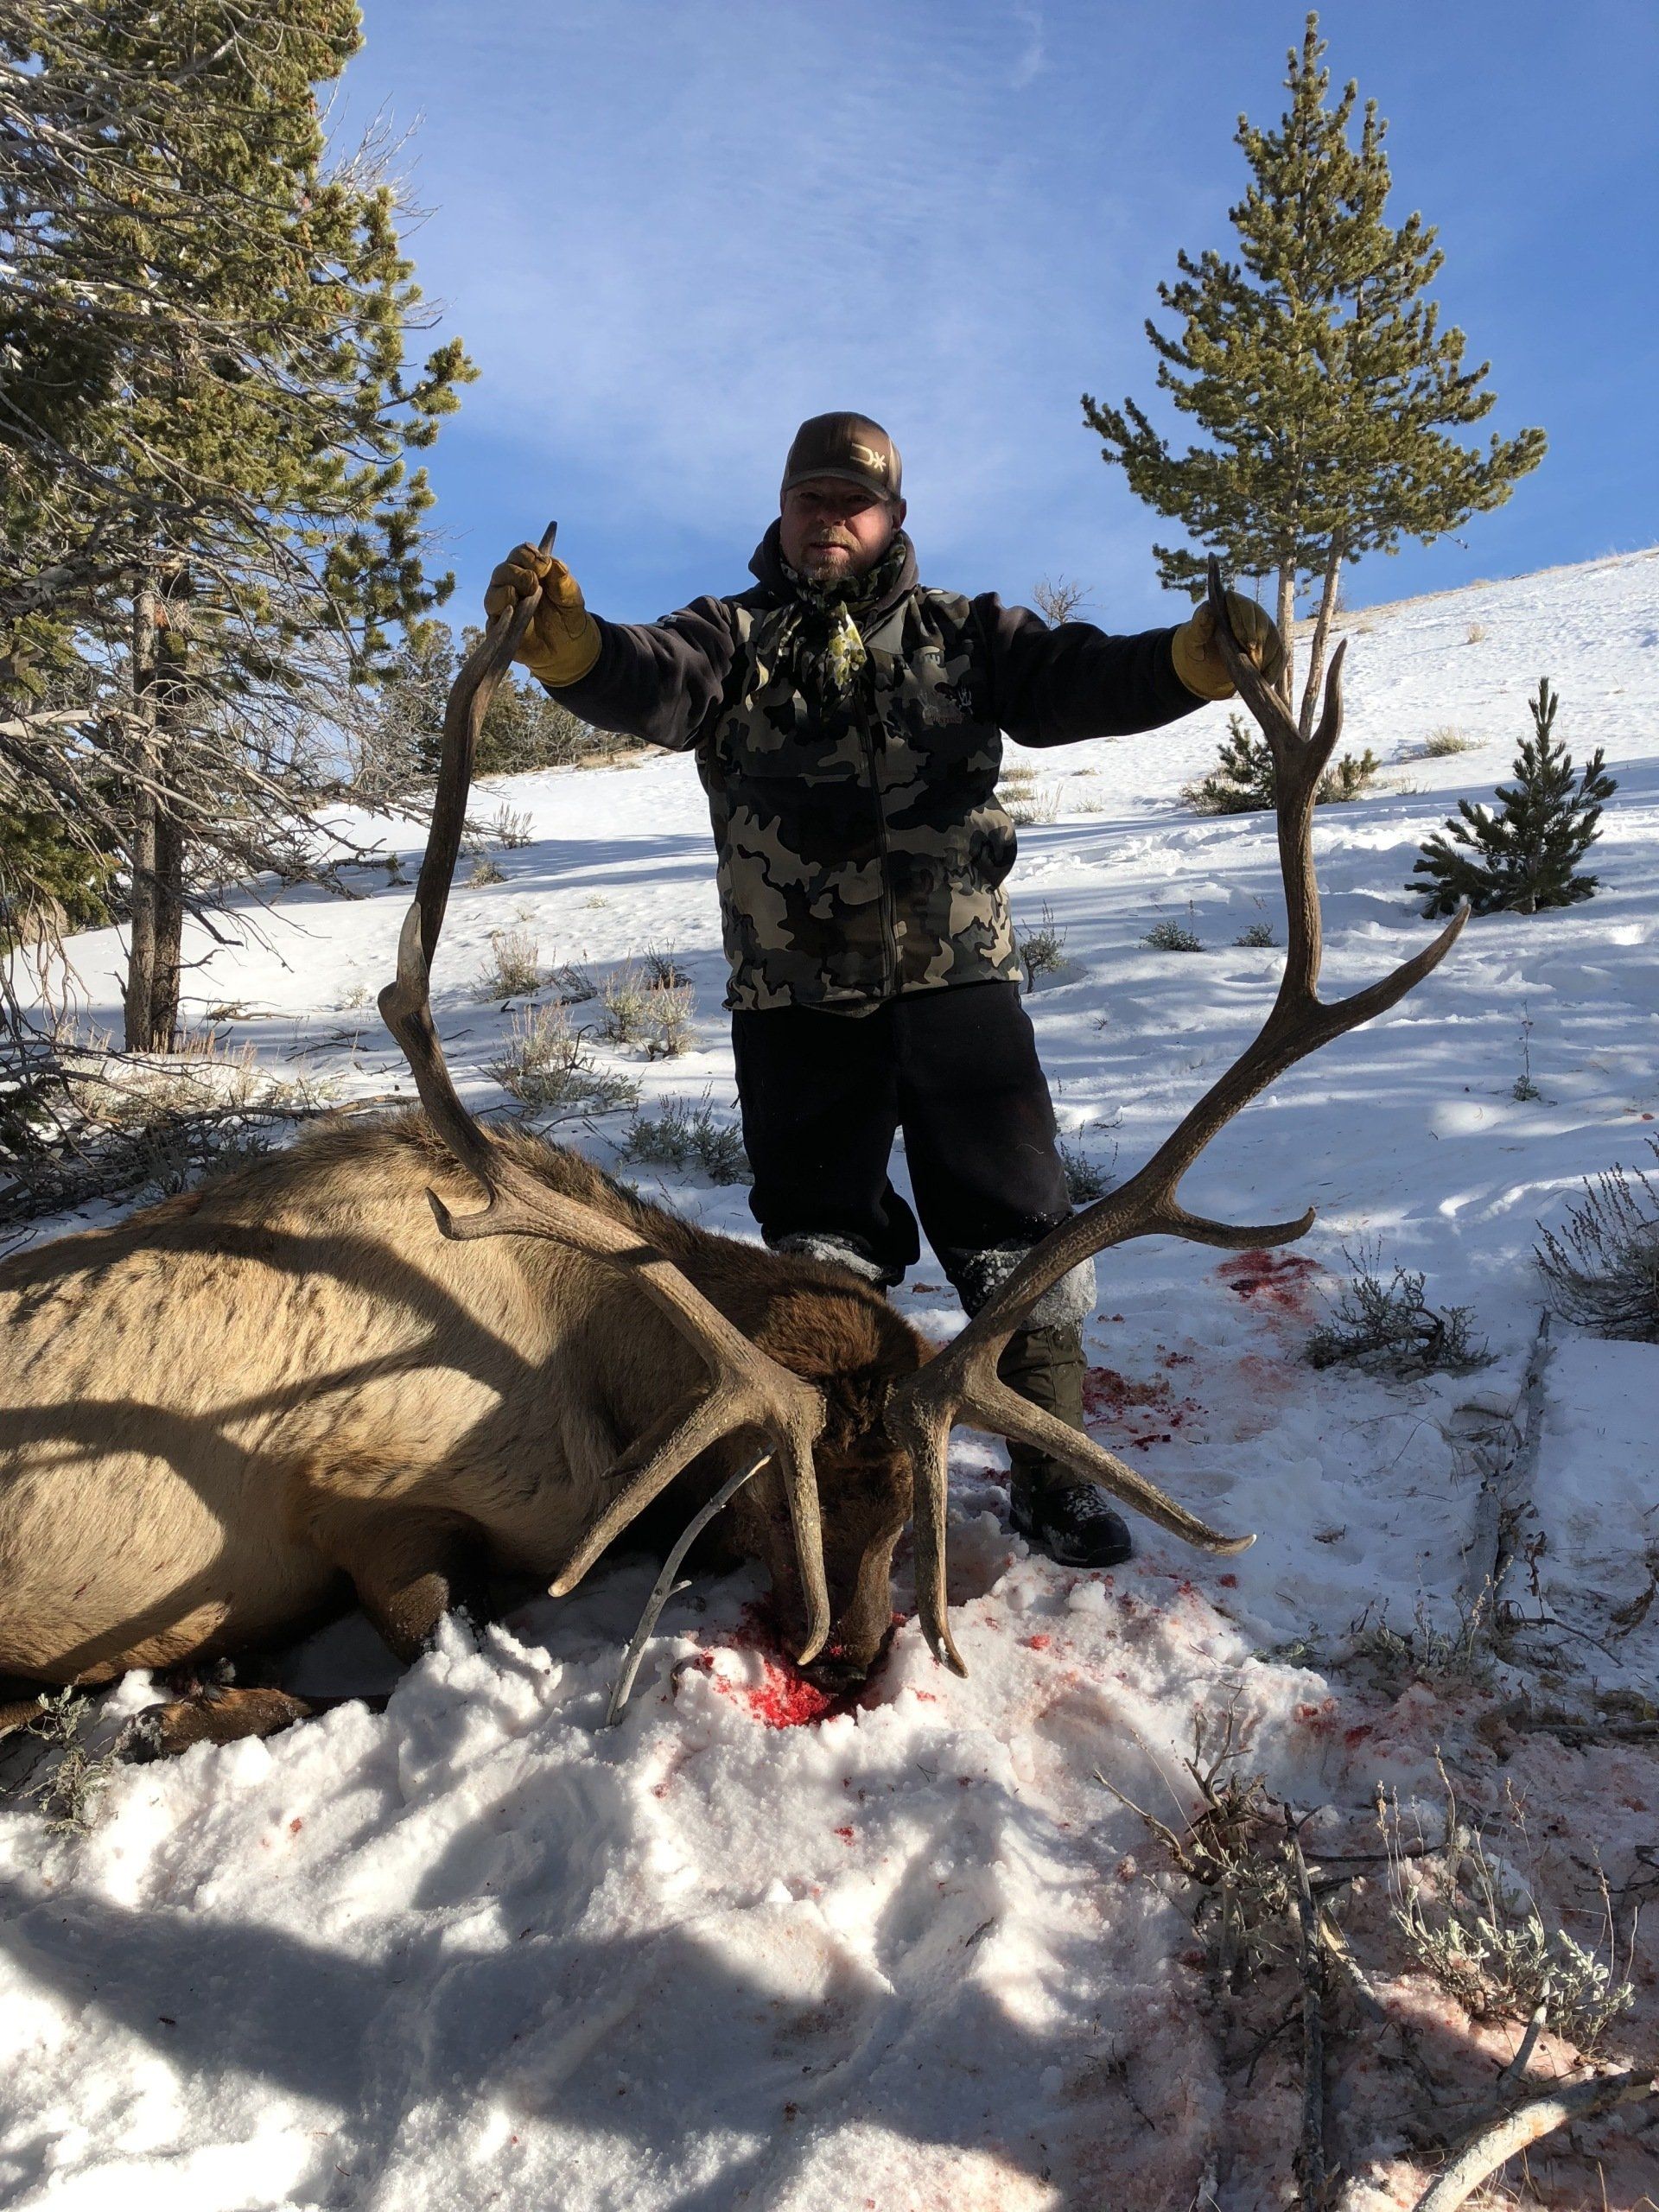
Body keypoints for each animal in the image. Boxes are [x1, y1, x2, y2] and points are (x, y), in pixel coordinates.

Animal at [0, 547, 1465, 1754]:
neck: (593, 1365)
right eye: (773, 1501)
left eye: (914, 1509)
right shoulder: (355, 1491)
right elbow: (414, 1653)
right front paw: (203, 1699)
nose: (852, 1657)